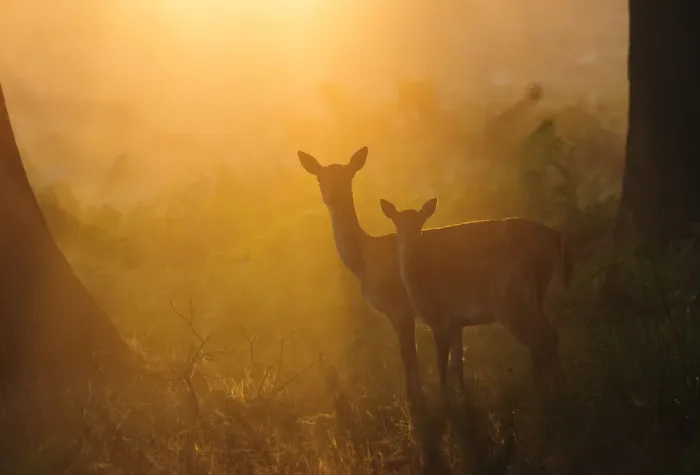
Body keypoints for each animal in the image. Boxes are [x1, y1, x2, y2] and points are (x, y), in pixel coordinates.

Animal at [379, 197, 571, 393]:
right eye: (397, 223)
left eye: (420, 222)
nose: (408, 239)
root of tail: (555, 234)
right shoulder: (456, 323)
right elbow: (457, 363)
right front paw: (462, 395)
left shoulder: (440, 319)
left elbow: (442, 364)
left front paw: (445, 396)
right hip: (535, 295)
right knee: (543, 340)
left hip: (515, 306)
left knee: (545, 338)